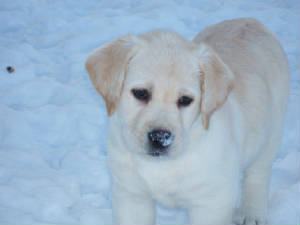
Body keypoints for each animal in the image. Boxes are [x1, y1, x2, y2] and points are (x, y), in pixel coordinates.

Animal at [85, 18, 290, 225]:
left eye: (185, 100)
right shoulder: (131, 195)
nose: (160, 138)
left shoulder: (213, 202)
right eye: (141, 93)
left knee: (258, 174)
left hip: (272, 132)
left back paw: (252, 212)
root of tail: (250, 21)